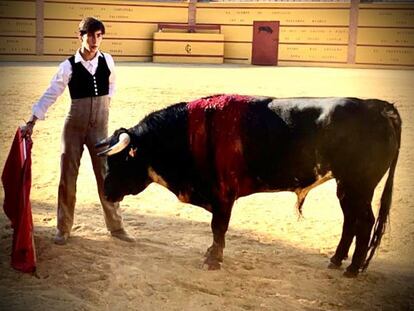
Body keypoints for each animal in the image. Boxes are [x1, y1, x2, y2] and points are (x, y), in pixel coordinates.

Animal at [95, 95, 400, 278]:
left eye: (120, 160)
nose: (107, 192)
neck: (189, 133)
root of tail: (379, 107)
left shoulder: (223, 196)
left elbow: (218, 227)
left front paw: (213, 259)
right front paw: (211, 254)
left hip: (359, 184)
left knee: (364, 221)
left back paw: (353, 268)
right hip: (346, 185)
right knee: (351, 220)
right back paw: (336, 260)